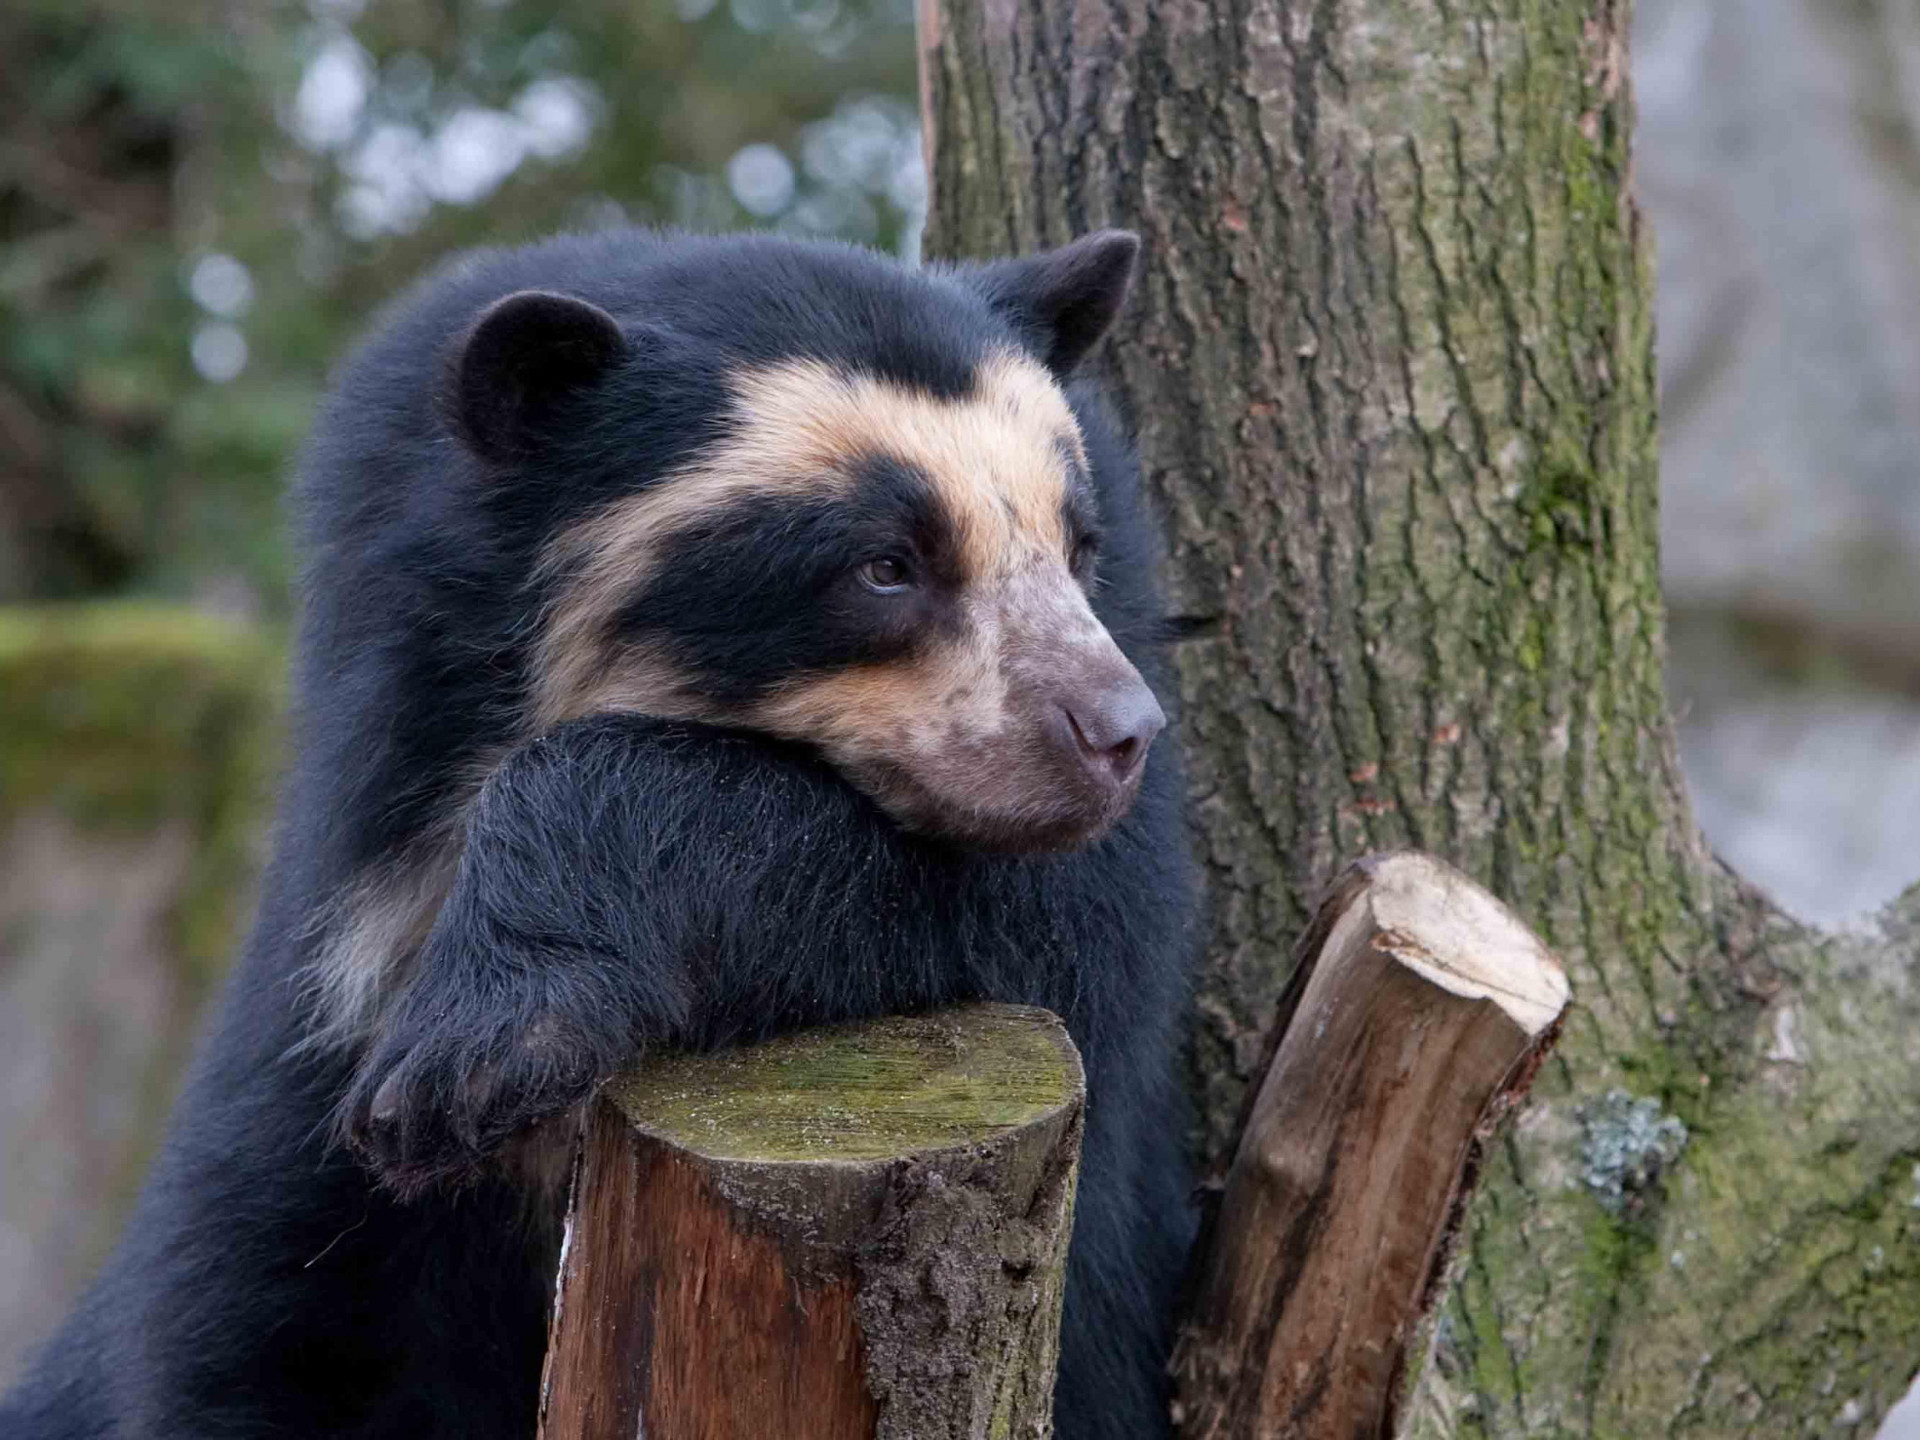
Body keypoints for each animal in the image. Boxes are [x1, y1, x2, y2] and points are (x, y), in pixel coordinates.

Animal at [0, 231, 1198, 1440]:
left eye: (1078, 546)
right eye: (884, 564)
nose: (1119, 732)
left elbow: (1062, 923)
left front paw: (468, 1056)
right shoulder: (322, 1001)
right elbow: (262, 1321)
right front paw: (446, 1094)